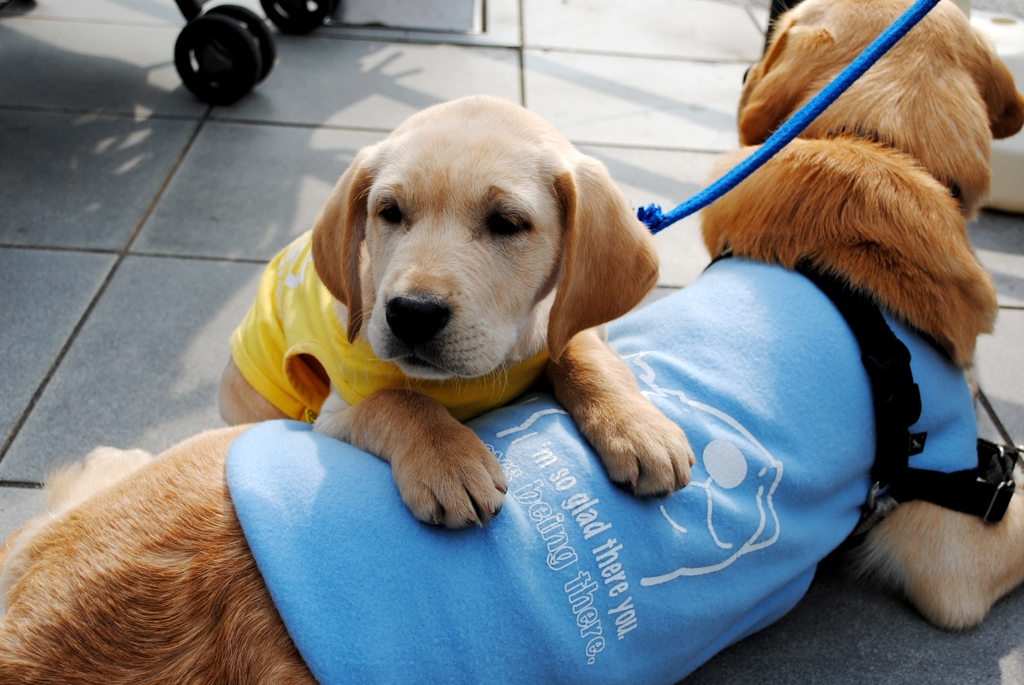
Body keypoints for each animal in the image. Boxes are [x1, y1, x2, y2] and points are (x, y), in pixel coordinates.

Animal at [220, 96, 692, 528]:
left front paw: (637, 427)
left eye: (507, 222)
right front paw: (447, 460)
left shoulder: (568, 325)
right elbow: (398, 400)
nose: (412, 313)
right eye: (389, 212)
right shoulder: (332, 418)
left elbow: (581, 354)